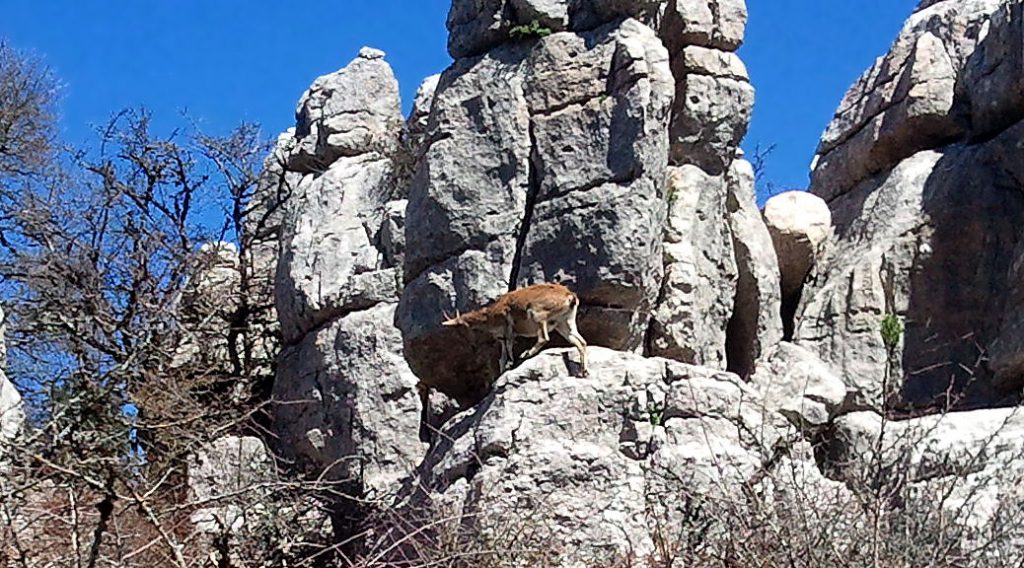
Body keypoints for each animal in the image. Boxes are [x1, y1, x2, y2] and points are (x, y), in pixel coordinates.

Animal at [442, 282, 593, 378]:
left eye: (461, 328)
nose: (472, 346)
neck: (491, 315)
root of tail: (570, 296)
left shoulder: (508, 328)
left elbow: (508, 351)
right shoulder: (503, 337)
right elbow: (502, 358)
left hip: (538, 314)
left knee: (544, 338)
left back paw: (526, 354)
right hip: (564, 322)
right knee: (581, 342)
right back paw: (584, 371)